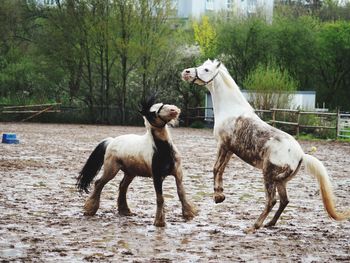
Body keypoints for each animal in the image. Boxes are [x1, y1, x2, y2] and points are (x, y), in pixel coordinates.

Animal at [77, 97, 197, 227]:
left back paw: (125, 210)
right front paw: (159, 221)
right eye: (152, 113)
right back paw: (90, 209)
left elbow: (181, 193)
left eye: (162, 104)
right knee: (99, 183)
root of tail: (111, 141)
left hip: (130, 173)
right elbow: (160, 198)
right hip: (111, 170)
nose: (173, 110)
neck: (163, 150)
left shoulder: (178, 173)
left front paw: (188, 214)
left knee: (122, 186)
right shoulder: (157, 176)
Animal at [182, 59, 348, 233]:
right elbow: (221, 170)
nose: (186, 72)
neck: (231, 111)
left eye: (206, 69)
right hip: (280, 181)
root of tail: (301, 155)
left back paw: (254, 226)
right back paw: (270, 223)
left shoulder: (223, 145)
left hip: (268, 175)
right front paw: (220, 195)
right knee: (284, 201)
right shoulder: (230, 150)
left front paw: (218, 197)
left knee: (272, 201)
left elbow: (215, 168)